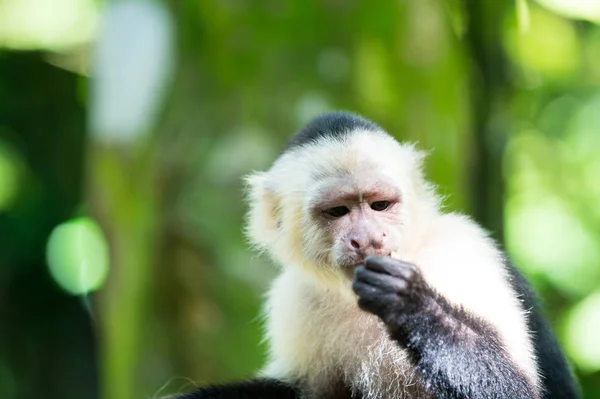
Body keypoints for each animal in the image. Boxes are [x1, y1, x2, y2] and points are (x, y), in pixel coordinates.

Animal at [171, 111, 580, 398]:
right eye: (338, 211)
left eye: (380, 205)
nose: (366, 238)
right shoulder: (295, 298)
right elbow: (304, 390)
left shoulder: (461, 252)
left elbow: (519, 392)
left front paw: (410, 302)